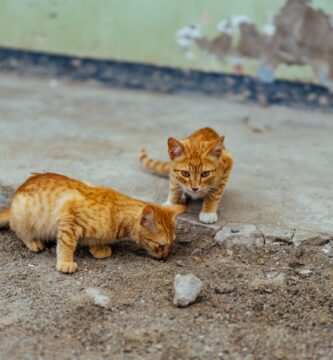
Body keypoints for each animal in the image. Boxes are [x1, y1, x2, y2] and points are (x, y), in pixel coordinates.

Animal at [0, 173, 185, 272]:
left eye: (172, 244)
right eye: (160, 245)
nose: (165, 257)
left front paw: (98, 248)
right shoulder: (69, 218)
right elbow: (66, 244)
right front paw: (65, 262)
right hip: (25, 217)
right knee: (18, 231)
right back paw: (33, 242)